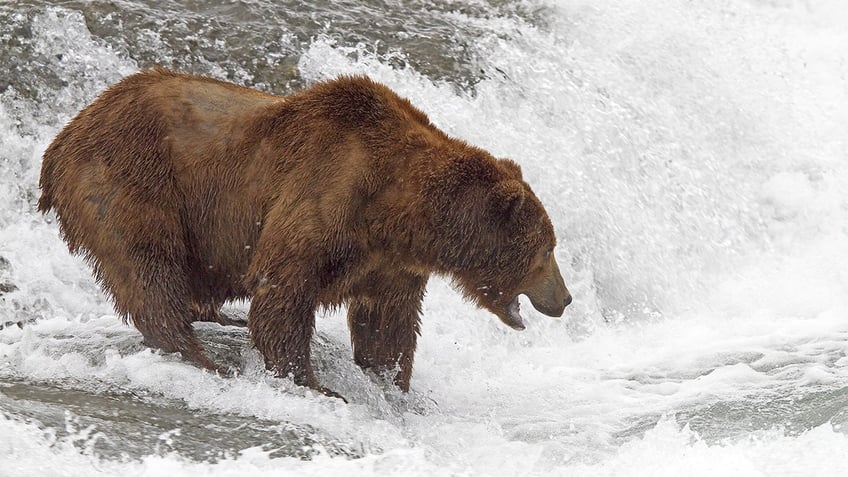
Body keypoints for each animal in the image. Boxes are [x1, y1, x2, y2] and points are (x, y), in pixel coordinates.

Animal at [38, 68, 568, 398]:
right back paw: (199, 354)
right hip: (133, 180)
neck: (399, 210)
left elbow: (389, 321)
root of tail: (63, 136)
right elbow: (284, 290)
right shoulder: (326, 192)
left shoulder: (389, 261)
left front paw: (390, 382)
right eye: (546, 250)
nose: (564, 299)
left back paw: (219, 319)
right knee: (148, 265)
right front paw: (318, 384)